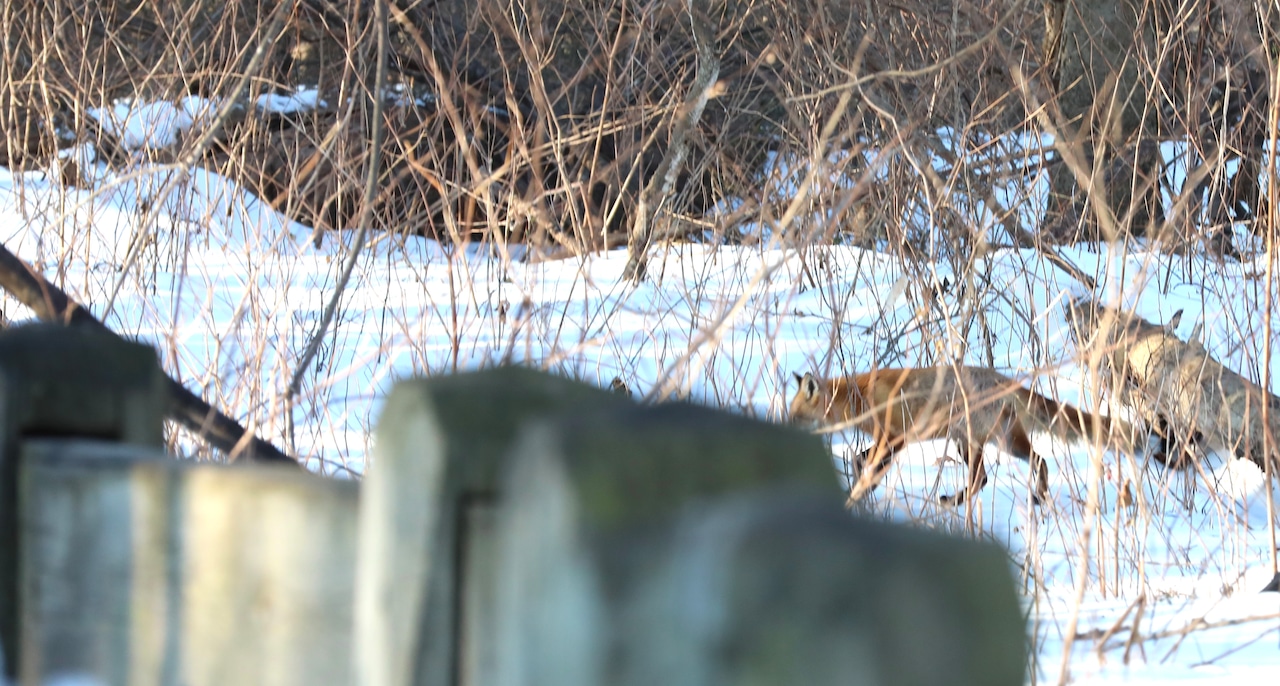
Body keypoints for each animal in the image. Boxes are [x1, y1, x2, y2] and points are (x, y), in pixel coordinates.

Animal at [789, 366, 1121, 506]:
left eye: (794, 418)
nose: (783, 428)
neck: (858, 397)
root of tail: (1006, 381)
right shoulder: (889, 441)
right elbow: (859, 462)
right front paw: (860, 491)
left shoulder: (895, 439)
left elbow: (864, 465)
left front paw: (855, 496)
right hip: (990, 443)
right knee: (1026, 464)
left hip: (981, 441)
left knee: (984, 477)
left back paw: (954, 502)